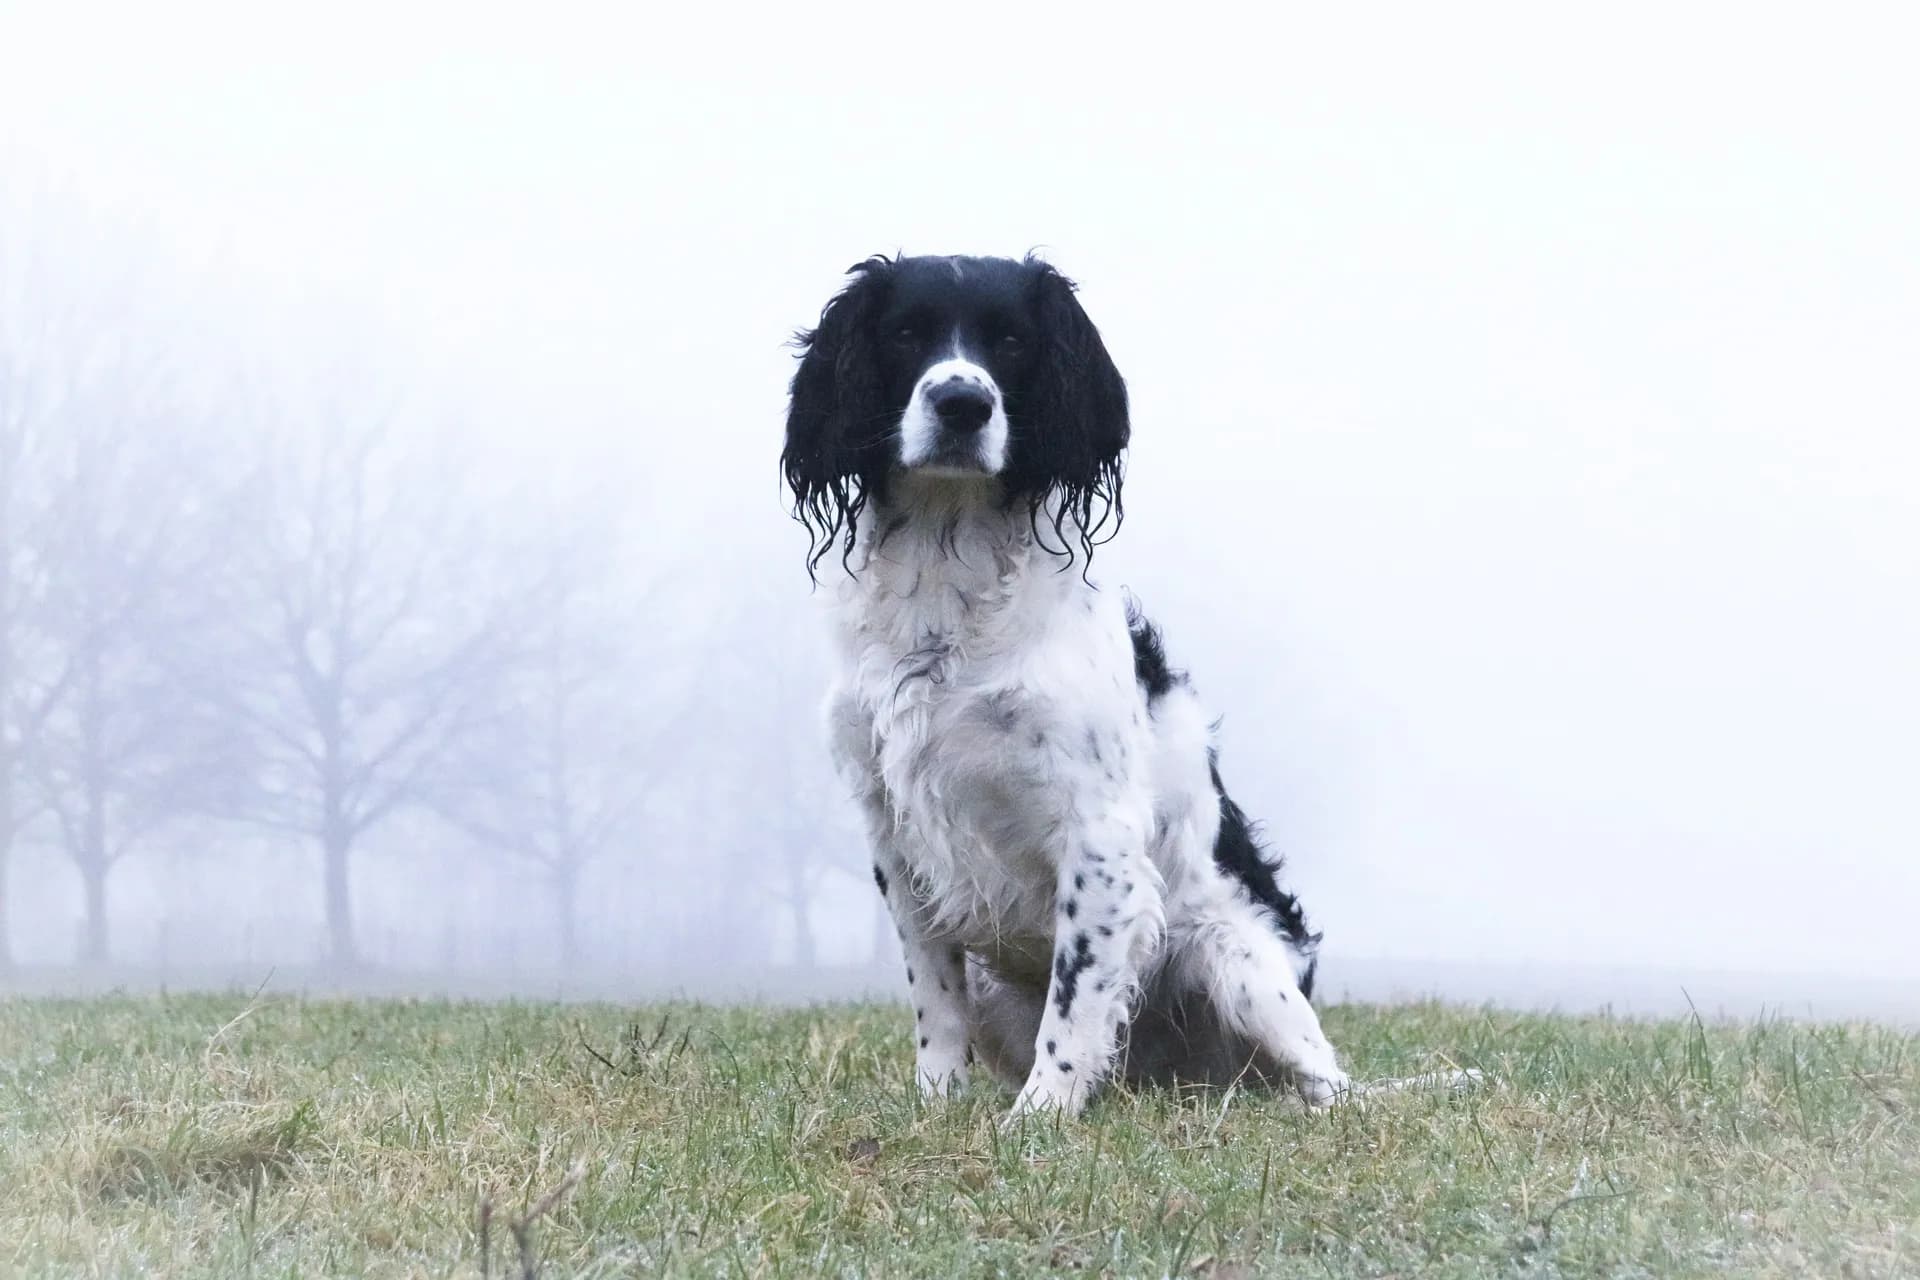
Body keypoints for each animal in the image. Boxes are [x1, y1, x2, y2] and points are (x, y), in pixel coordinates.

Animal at [779, 255, 1351, 1113]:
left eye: (1012, 340)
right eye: (906, 332)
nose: (963, 402)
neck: (948, 587)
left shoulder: (1101, 839)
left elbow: (1076, 999)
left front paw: (1039, 1116)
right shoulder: (894, 835)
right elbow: (934, 1001)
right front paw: (937, 1104)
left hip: (1242, 967)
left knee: (1333, 1085)